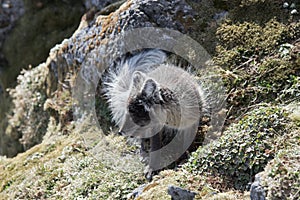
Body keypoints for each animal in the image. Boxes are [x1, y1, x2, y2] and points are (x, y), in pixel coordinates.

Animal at [103, 49, 206, 179]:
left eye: (134, 115)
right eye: (127, 113)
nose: (120, 132)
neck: (171, 120)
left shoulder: (191, 123)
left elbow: (186, 143)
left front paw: (183, 158)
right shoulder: (156, 129)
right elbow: (155, 150)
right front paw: (151, 168)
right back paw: (143, 153)